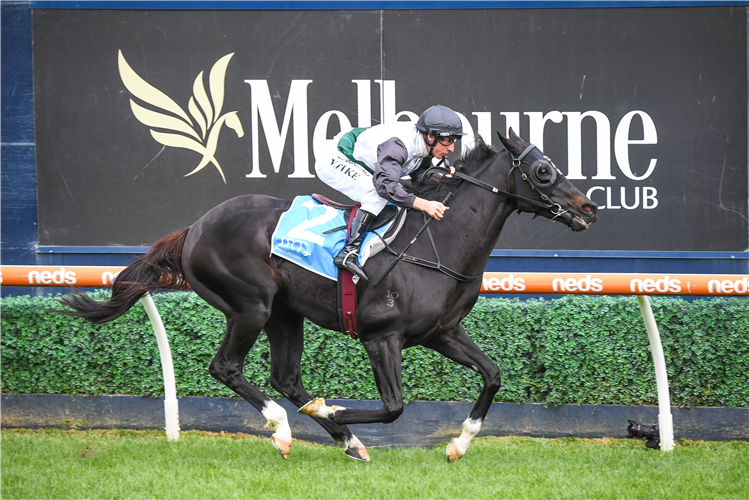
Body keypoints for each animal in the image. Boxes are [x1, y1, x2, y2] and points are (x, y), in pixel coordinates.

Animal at [64, 129, 600, 460]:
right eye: (544, 171)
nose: (589, 208)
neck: (438, 241)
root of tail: (194, 227)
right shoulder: (382, 337)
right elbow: (393, 407)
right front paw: (336, 409)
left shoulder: (442, 332)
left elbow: (492, 374)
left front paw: (458, 445)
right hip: (250, 305)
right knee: (227, 368)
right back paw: (288, 428)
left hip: (284, 313)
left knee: (285, 378)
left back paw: (341, 436)